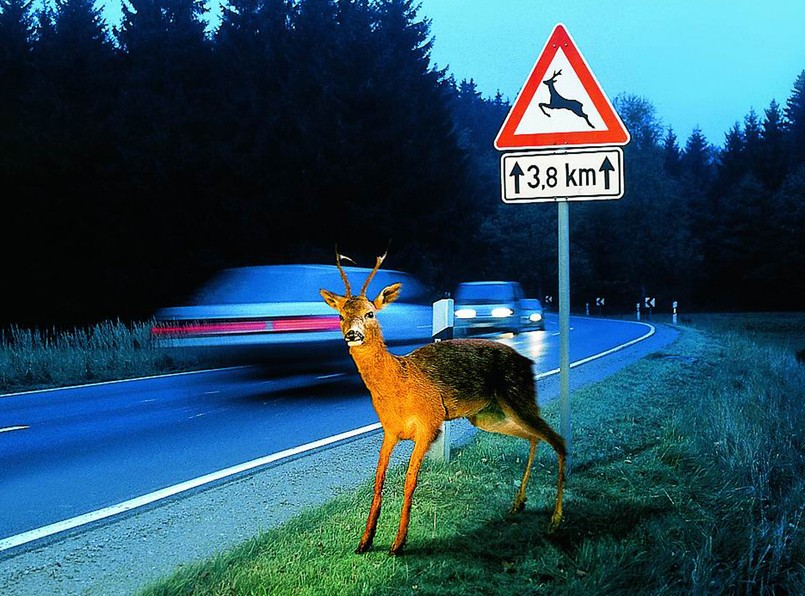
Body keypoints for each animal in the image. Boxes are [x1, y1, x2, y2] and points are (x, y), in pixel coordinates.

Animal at [320, 247, 564, 556]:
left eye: (370, 313)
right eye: (341, 316)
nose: (353, 334)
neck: (398, 382)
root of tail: (528, 362)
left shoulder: (429, 423)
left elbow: (410, 480)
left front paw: (398, 544)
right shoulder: (390, 430)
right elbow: (378, 480)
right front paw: (364, 542)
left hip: (517, 395)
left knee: (558, 441)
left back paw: (555, 521)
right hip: (489, 415)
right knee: (534, 437)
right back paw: (518, 504)